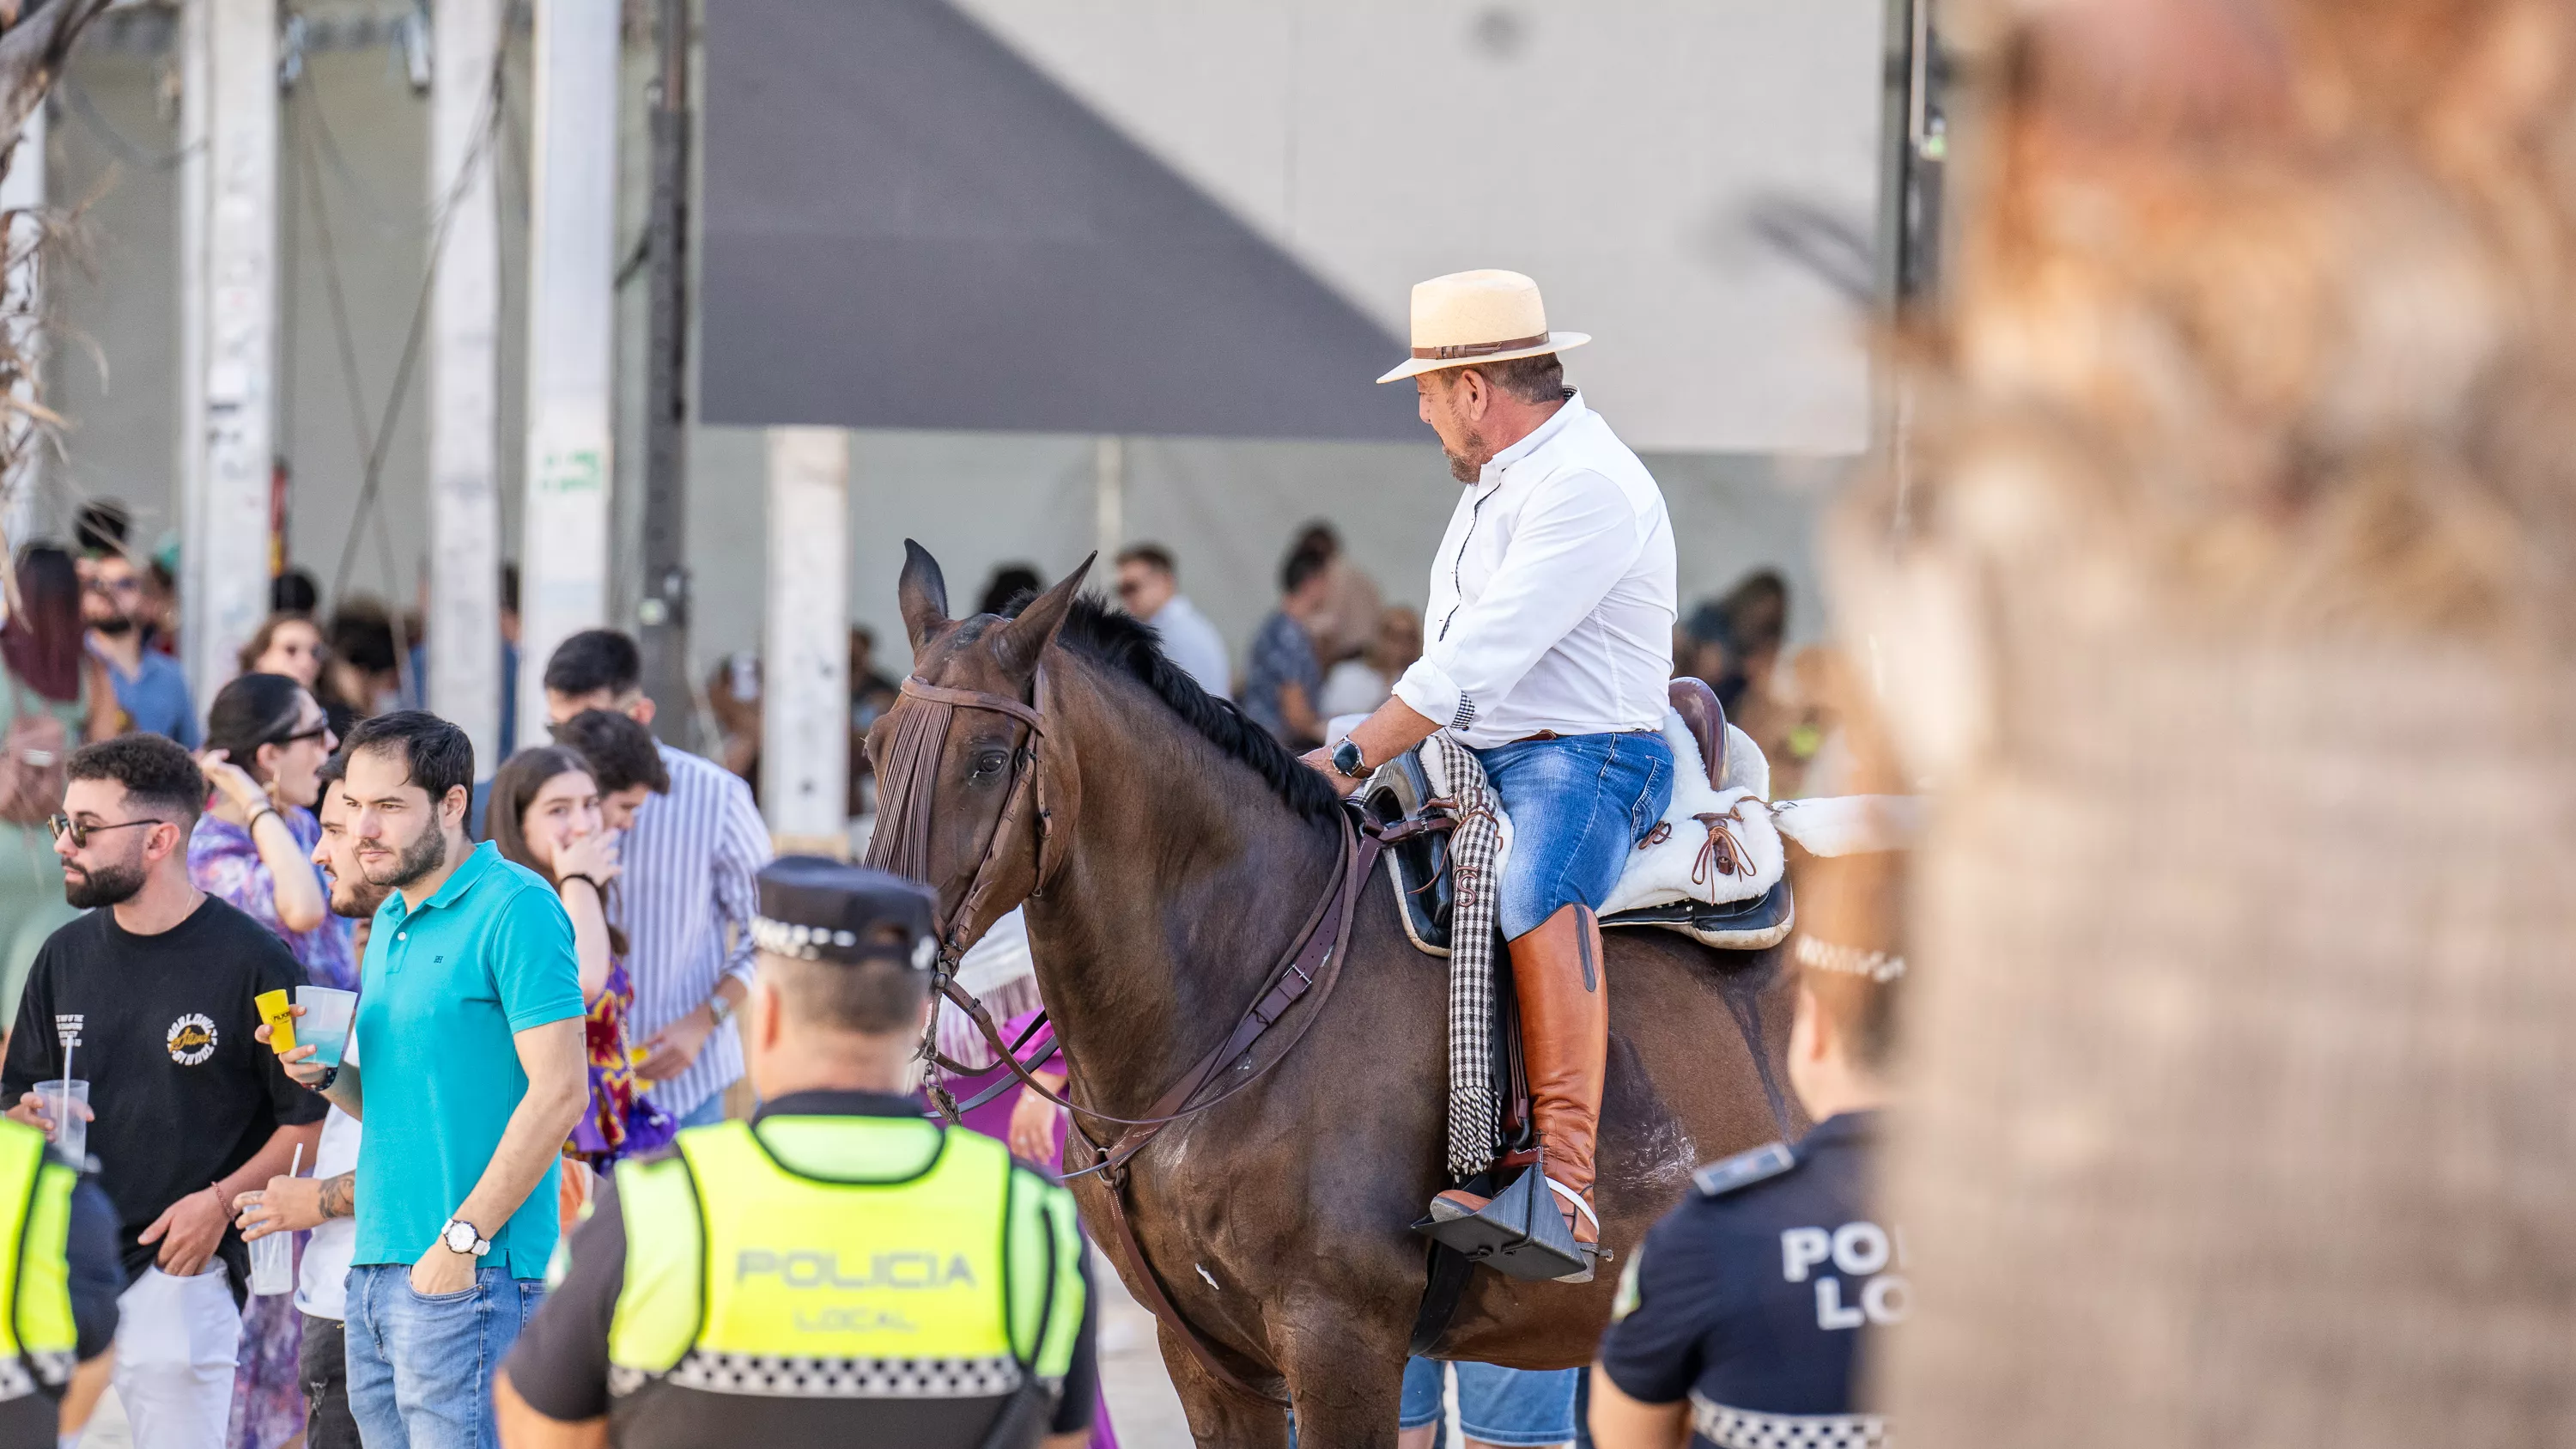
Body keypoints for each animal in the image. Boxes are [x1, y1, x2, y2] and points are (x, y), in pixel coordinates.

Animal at [866, 544, 1793, 1443]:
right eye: (874, 748)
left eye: (989, 761)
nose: (872, 957)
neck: (1249, 987)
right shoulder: (1207, 1359)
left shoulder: (1338, 1338)